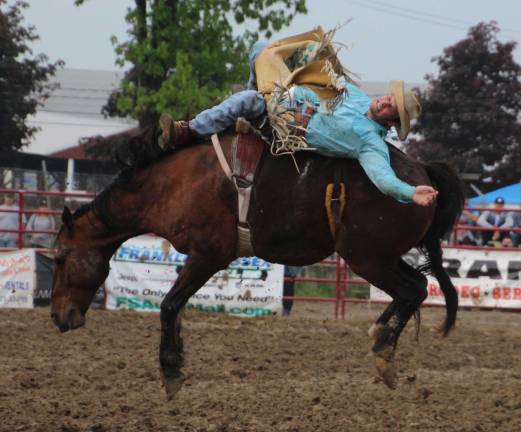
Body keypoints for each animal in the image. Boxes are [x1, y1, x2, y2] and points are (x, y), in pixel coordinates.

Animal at [48, 126, 464, 396]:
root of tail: (422, 173)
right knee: (413, 288)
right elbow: (175, 309)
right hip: (380, 257)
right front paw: (176, 360)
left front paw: (171, 372)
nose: (58, 317)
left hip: (366, 257)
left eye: (60, 257)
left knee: (413, 289)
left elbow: (168, 305)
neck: (173, 183)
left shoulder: (208, 255)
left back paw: (383, 355)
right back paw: (379, 335)